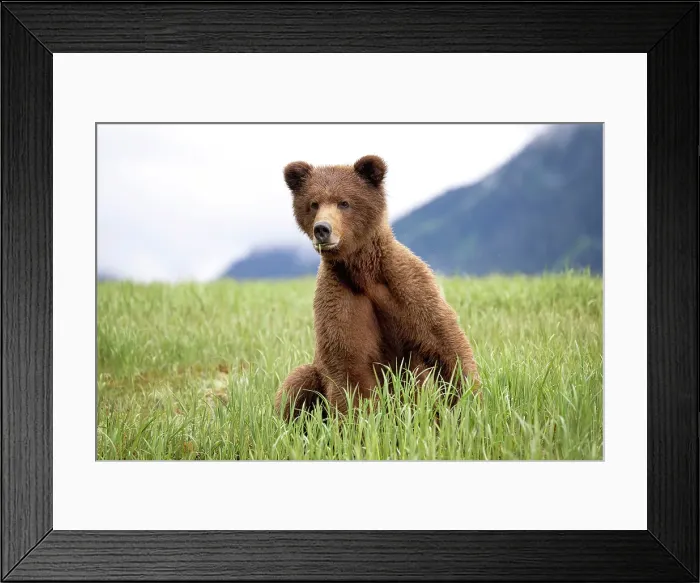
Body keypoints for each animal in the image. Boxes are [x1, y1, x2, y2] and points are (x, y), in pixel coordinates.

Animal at [274, 154, 480, 420]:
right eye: (313, 204)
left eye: (344, 202)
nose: (322, 229)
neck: (364, 272)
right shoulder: (342, 298)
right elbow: (349, 368)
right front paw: (363, 422)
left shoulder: (407, 286)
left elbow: (444, 342)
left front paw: (469, 404)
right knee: (298, 381)